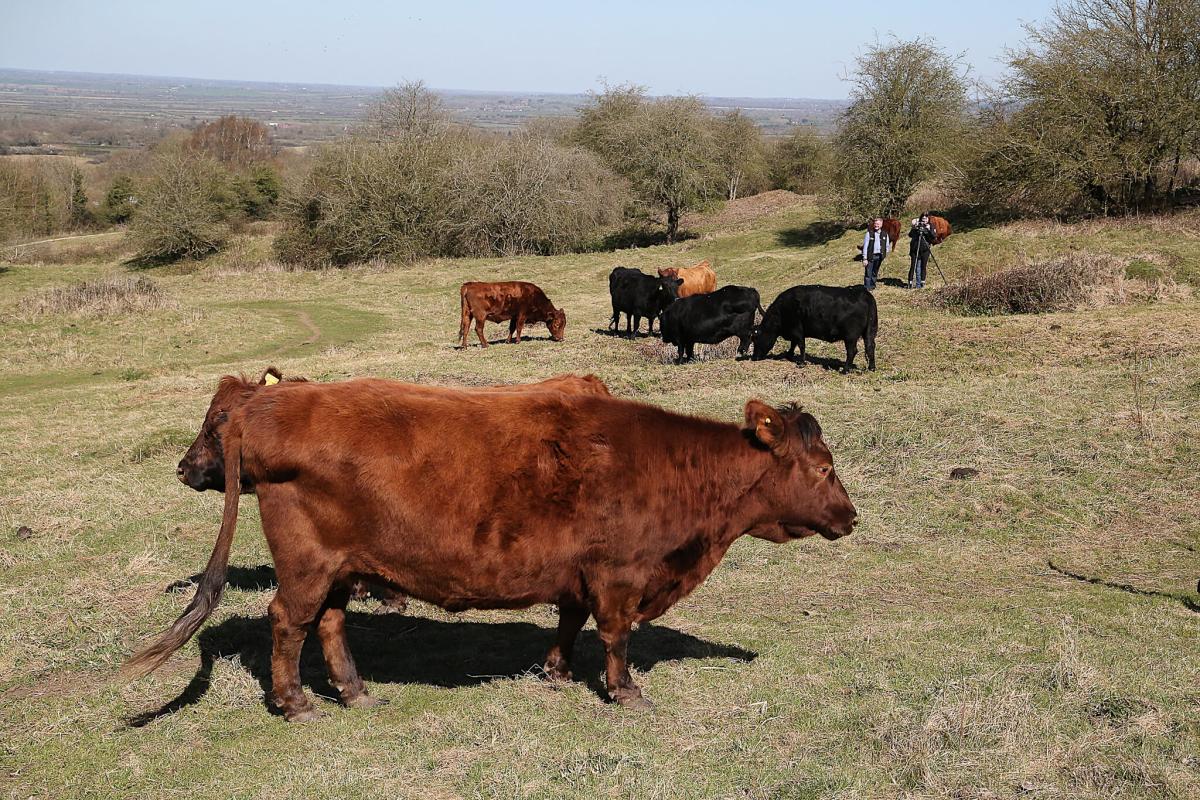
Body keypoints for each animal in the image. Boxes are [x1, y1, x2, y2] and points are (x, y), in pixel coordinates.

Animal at [125, 381, 858, 720]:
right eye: (824, 467)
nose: (851, 516)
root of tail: (267, 405)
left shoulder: (578, 573)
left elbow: (571, 619)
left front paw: (557, 671)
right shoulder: (621, 573)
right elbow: (616, 635)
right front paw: (625, 692)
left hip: (339, 567)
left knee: (328, 625)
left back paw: (356, 692)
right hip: (308, 564)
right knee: (288, 622)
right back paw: (296, 701)